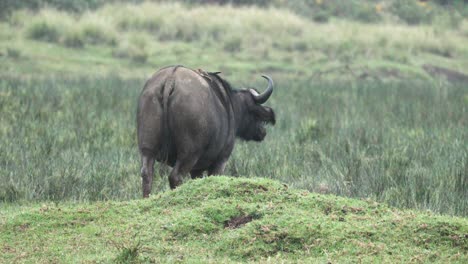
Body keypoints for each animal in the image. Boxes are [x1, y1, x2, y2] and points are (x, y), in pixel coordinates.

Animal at [136, 65, 274, 197]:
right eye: (255, 111)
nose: (263, 132)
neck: (230, 105)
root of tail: (170, 79)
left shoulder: (197, 169)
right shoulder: (221, 160)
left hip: (147, 149)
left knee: (147, 174)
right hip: (189, 154)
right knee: (175, 176)